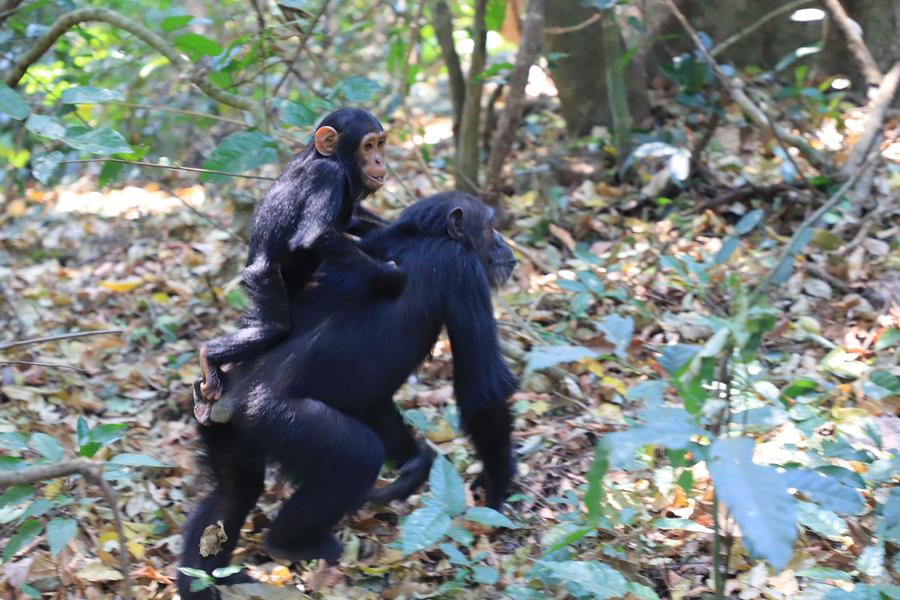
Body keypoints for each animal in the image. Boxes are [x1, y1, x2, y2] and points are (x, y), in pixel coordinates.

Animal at [179, 193, 516, 600]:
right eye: (491, 225)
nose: (504, 244)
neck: (425, 236)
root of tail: (222, 398)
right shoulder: (464, 272)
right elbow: (481, 387)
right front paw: (498, 492)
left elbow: (373, 401)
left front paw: (415, 466)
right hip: (280, 421)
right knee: (357, 456)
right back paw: (290, 543)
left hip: (223, 431)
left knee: (231, 494)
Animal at [200, 108, 408, 410]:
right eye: (368, 146)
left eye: (381, 144)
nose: (380, 159)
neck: (331, 158)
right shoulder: (328, 176)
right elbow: (316, 235)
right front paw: (391, 276)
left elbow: (352, 218)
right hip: (261, 278)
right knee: (274, 327)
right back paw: (208, 355)